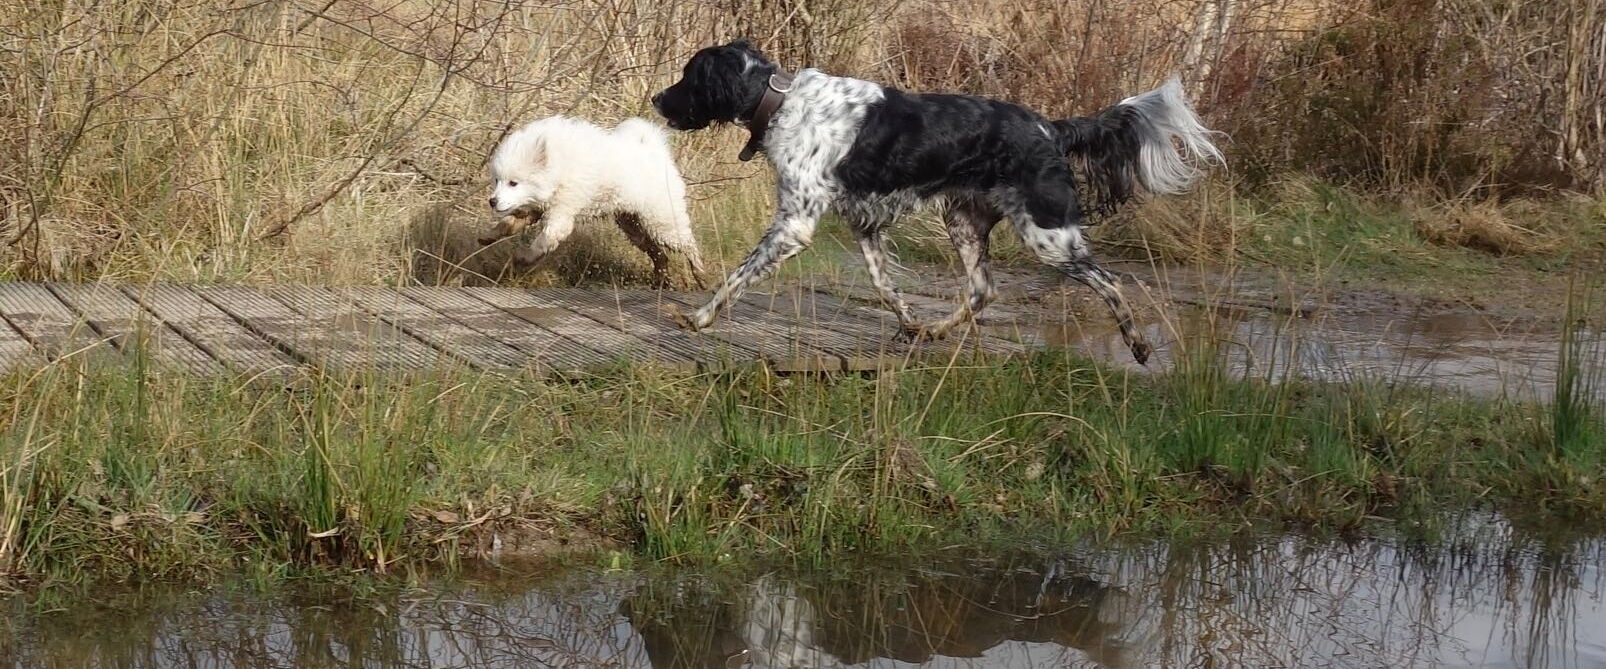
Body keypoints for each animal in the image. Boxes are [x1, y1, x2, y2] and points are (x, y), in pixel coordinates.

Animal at [481, 116, 709, 287]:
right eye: (497, 180)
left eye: (514, 183)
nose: (492, 201)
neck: (559, 166)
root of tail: (657, 152)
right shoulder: (536, 207)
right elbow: (508, 223)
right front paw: (489, 236)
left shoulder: (562, 212)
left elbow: (543, 242)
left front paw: (524, 258)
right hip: (633, 226)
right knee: (660, 255)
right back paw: (661, 280)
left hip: (662, 222)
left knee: (687, 244)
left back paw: (700, 275)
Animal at [648, 39, 1214, 362]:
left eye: (688, 77)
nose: (655, 98)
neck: (781, 99)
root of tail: (1049, 128)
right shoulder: (863, 224)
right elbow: (885, 286)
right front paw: (910, 323)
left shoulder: (795, 224)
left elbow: (736, 277)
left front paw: (699, 317)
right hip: (965, 223)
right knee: (983, 289)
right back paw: (938, 330)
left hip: (1048, 233)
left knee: (1110, 279)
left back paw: (1137, 343)